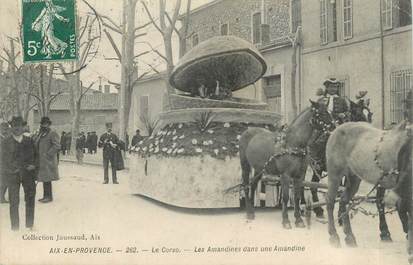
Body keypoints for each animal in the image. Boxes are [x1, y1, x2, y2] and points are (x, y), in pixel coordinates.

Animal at [238, 100, 332, 228]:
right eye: (321, 113)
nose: (335, 127)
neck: (293, 144)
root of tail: (248, 131)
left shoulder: (299, 176)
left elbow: (297, 197)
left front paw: (298, 220)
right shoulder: (285, 175)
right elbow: (286, 197)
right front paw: (286, 221)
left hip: (259, 168)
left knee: (253, 185)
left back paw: (252, 209)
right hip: (245, 166)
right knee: (246, 185)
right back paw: (249, 212)